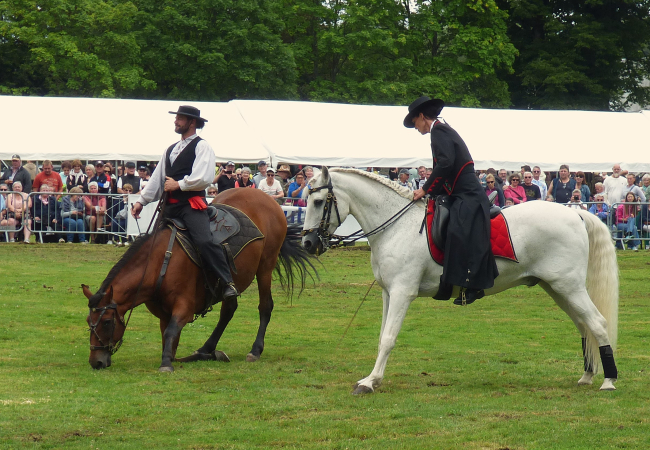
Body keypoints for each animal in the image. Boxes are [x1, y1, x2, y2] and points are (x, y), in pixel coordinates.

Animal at [82, 188, 316, 370]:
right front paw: (197, 355)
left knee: (265, 306)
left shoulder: (184, 308)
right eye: (88, 322)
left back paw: (255, 350)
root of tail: (266, 198)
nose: (96, 361)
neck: (160, 263)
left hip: (265, 266)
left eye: (107, 322)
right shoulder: (164, 314)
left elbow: (171, 334)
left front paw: (167, 364)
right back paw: (207, 348)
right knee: (228, 310)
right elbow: (170, 340)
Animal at [300, 167, 616, 392]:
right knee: (584, 327)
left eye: (318, 201)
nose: (307, 243)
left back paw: (608, 381)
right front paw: (374, 378)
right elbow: (381, 337)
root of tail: (575, 215)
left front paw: (369, 383)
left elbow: (388, 338)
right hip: (557, 289)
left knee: (598, 324)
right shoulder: (388, 293)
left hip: (569, 288)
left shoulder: (402, 292)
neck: (397, 225)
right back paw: (587, 376)